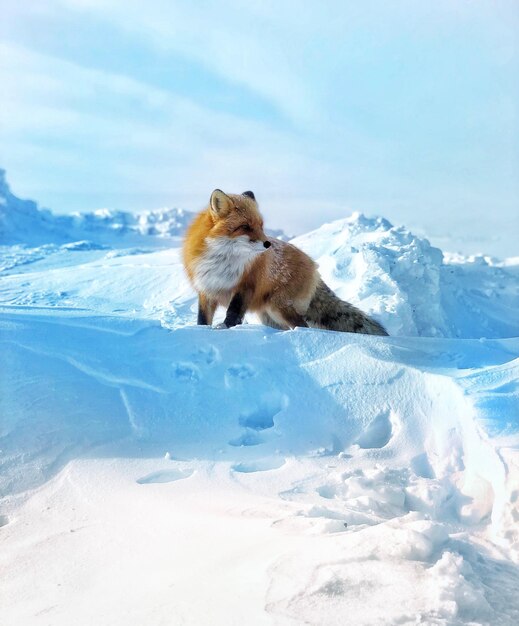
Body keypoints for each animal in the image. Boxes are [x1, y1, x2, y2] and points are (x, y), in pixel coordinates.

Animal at [183, 189, 390, 336]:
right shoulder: (206, 288)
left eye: (261, 226)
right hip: (269, 316)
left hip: (279, 307)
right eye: (245, 227)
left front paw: (225, 329)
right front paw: (199, 331)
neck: (223, 261)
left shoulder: (246, 286)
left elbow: (233, 313)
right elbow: (203, 319)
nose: (267, 244)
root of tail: (315, 267)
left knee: (303, 326)